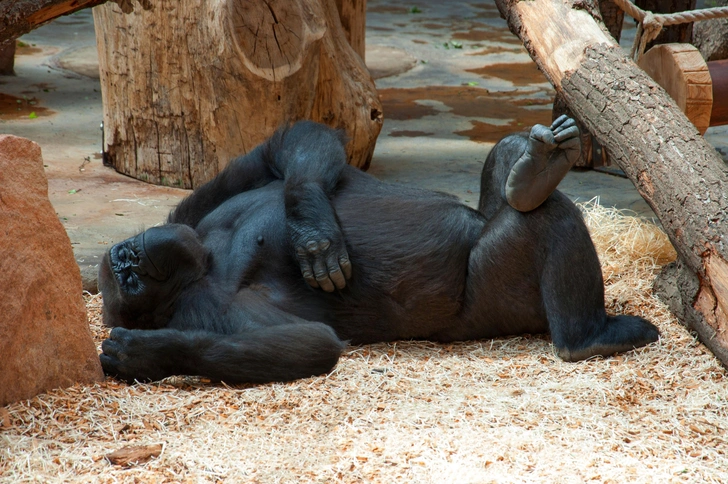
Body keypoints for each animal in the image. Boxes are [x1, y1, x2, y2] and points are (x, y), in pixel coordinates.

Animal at [98, 115, 660, 384]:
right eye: (128, 280)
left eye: (126, 260)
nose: (131, 258)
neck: (205, 262)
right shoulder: (208, 308)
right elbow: (307, 343)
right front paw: (147, 353)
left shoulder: (186, 218)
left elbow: (280, 154)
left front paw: (312, 229)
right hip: (500, 302)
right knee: (542, 222)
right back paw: (588, 337)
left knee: (505, 183)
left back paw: (533, 170)